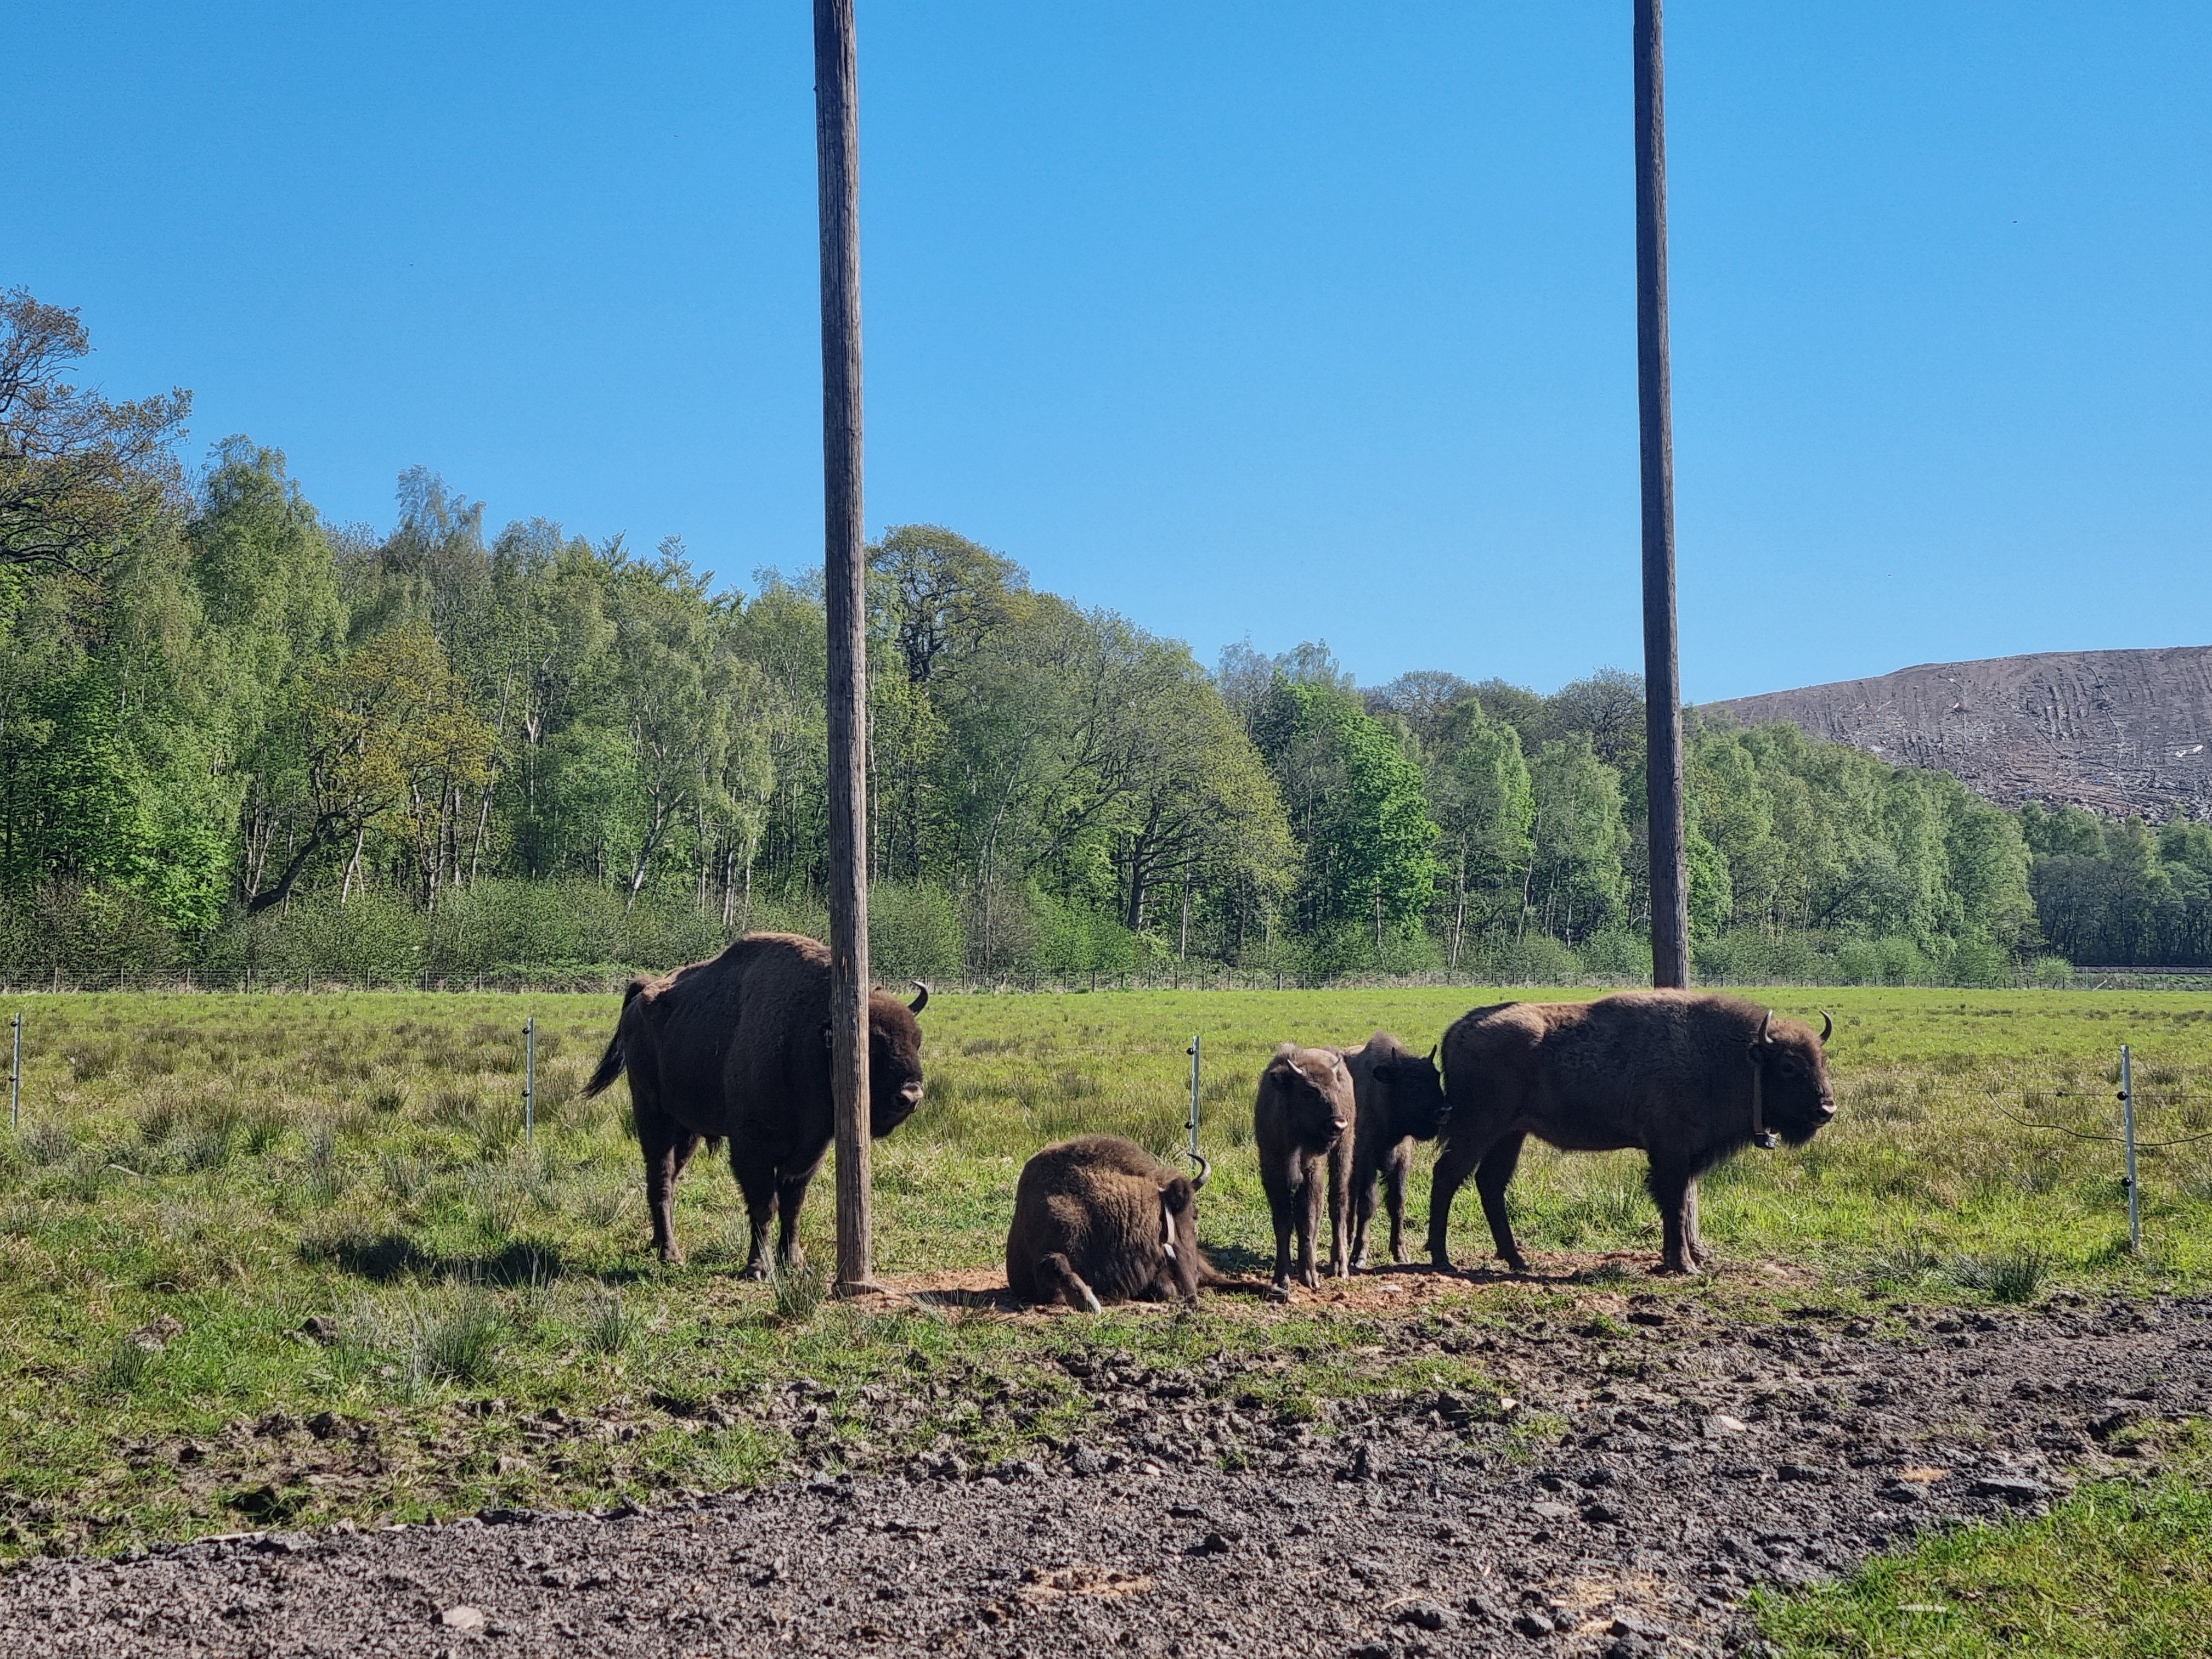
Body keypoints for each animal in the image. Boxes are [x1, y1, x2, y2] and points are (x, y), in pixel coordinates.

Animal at [581, 932, 928, 1271]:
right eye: (872, 1042)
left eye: (917, 1039)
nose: (911, 1096)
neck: (809, 1030)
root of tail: (641, 996)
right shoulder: (752, 1145)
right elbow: (764, 1205)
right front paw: (759, 1267)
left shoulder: (810, 1149)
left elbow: (793, 1204)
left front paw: (794, 1263)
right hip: (653, 1116)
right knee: (661, 1179)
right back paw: (671, 1254)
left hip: (687, 1129)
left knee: (669, 1178)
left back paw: (657, 1243)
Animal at [1255, 1043, 1357, 1295]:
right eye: (1309, 1092)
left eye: (1335, 1089)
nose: (1338, 1124)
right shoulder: (1272, 1172)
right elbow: (1283, 1222)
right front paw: (1282, 1277)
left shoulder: (1312, 1173)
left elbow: (1308, 1219)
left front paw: (1310, 1277)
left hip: (1344, 1150)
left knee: (1338, 1203)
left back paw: (1339, 1266)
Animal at [1339, 1031, 1448, 1269]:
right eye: (1411, 1085)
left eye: (1436, 1077)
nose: (1445, 1111)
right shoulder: (1367, 1162)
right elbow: (1368, 1204)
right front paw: (1359, 1256)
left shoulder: (1401, 1163)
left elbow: (1397, 1204)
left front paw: (1401, 1253)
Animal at [1428, 991, 1835, 1277]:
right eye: (1787, 1066)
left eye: (1821, 1060)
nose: (1826, 1109)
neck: (1727, 1056)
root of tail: (1461, 1027)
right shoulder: (1671, 1150)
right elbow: (1675, 1204)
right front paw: (1685, 1265)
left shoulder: (1682, 1157)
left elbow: (1674, 1206)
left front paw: (1672, 1261)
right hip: (1480, 1126)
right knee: (1448, 1174)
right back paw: (1442, 1258)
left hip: (1511, 1133)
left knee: (1490, 1183)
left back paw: (1517, 1260)